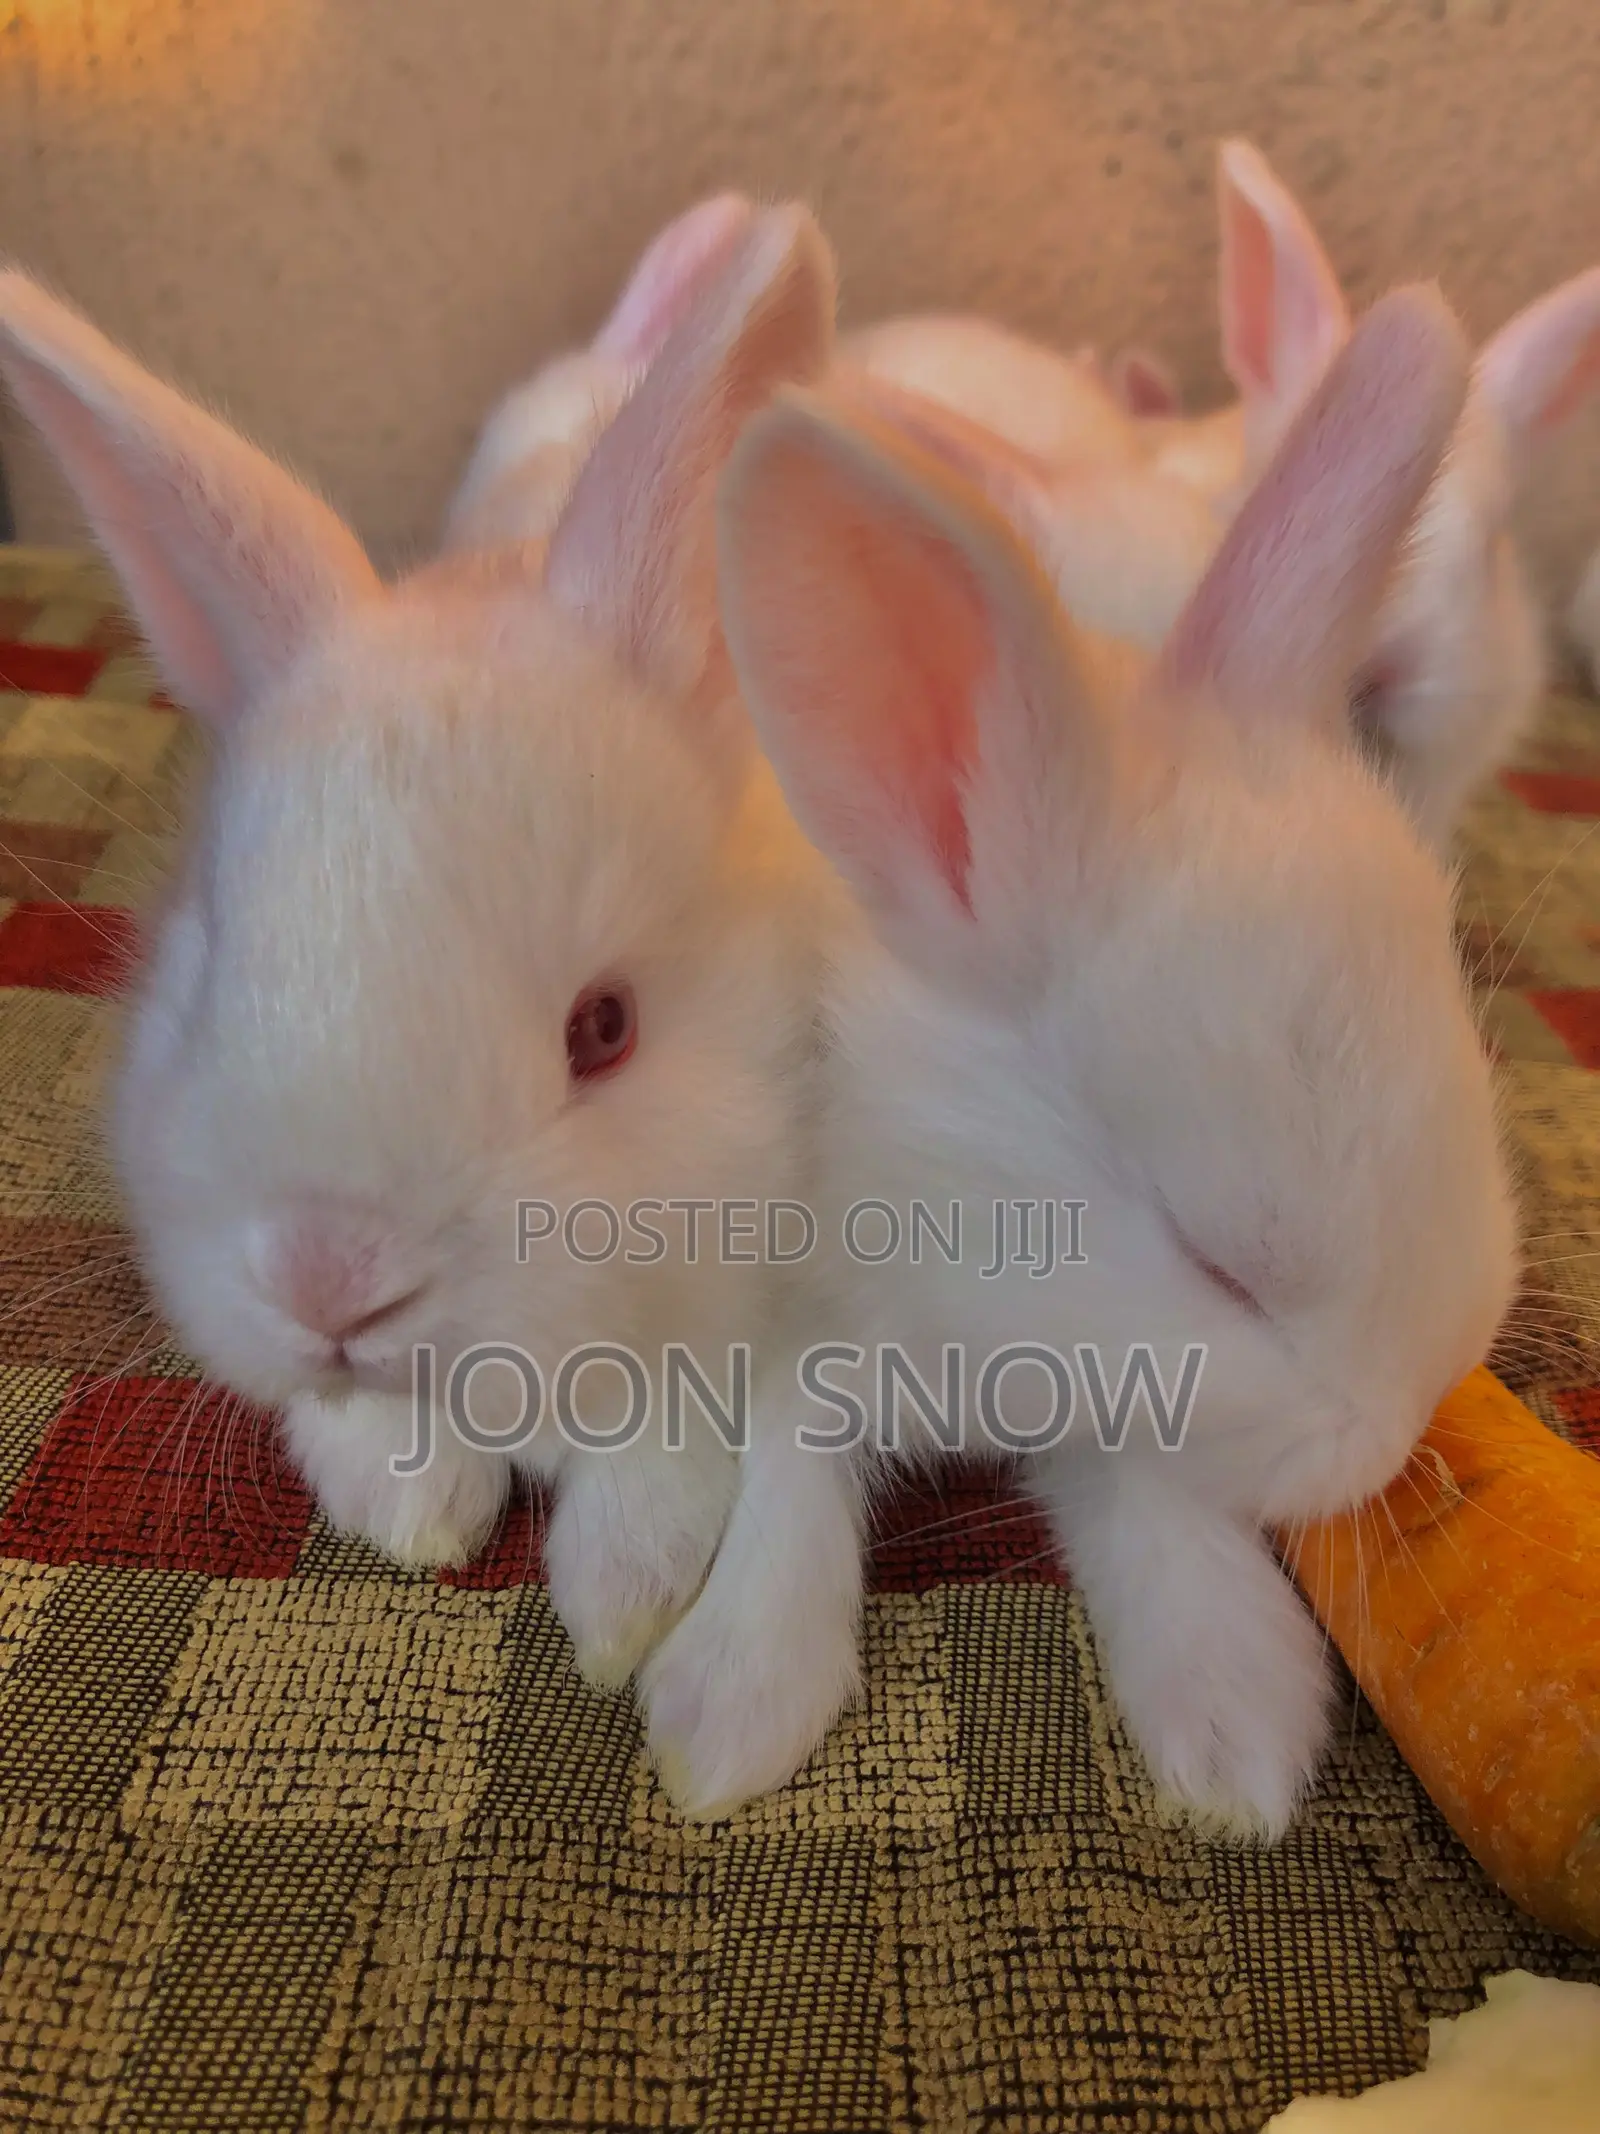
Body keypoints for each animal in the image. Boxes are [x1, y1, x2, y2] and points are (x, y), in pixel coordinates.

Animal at [0, 200, 840, 1688]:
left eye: (604, 1029)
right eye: (204, 980)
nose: (330, 1287)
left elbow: (665, 1452)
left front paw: (614, 1608)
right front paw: (418, 1512)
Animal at [638, 286, 1518, 1839]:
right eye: (1222, 1266)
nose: (1413, 1410)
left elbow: (1142, 1489)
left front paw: (1234, 1723)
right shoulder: (797, 1318)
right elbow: (792, 1465)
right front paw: (734, 1701)